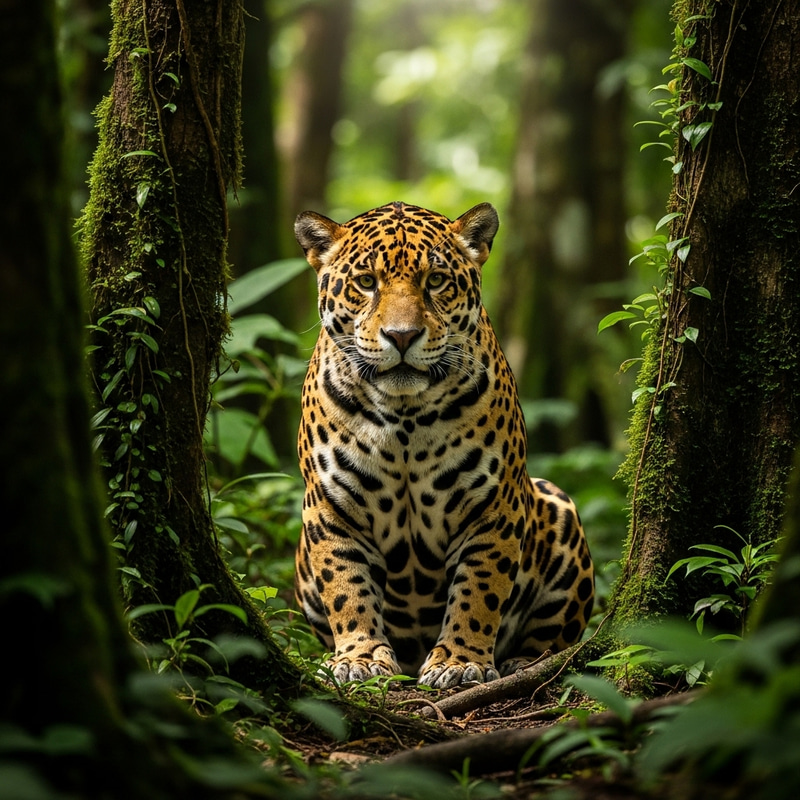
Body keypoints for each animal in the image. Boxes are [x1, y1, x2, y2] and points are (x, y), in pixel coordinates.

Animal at [293, 201, 594, 690]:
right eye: (366, 282)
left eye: (435, 281)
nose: (401, 336)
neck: (404, 415)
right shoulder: (329, 505)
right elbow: (345, 585)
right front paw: (360, 658)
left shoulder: (494, 504)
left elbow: (480, 588)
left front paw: (459, 661)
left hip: (557, 506)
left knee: (551, 636)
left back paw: (525, 664)